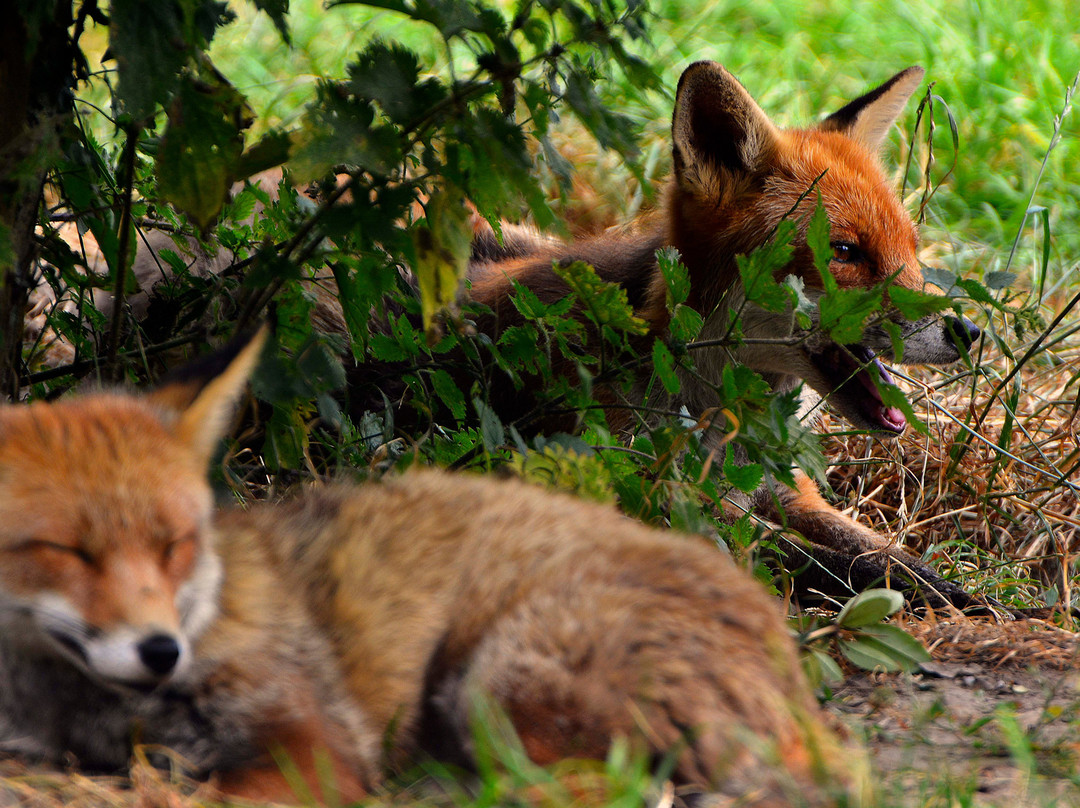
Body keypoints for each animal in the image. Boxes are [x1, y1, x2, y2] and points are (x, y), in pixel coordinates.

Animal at [464, 61, 989, 613]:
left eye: (911, 249)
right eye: (844, 252)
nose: (968, 331)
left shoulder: (784, 488)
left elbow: (883, 551)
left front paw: (966, 591)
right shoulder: (658, 499)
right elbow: (831, 561)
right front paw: (952, 598)